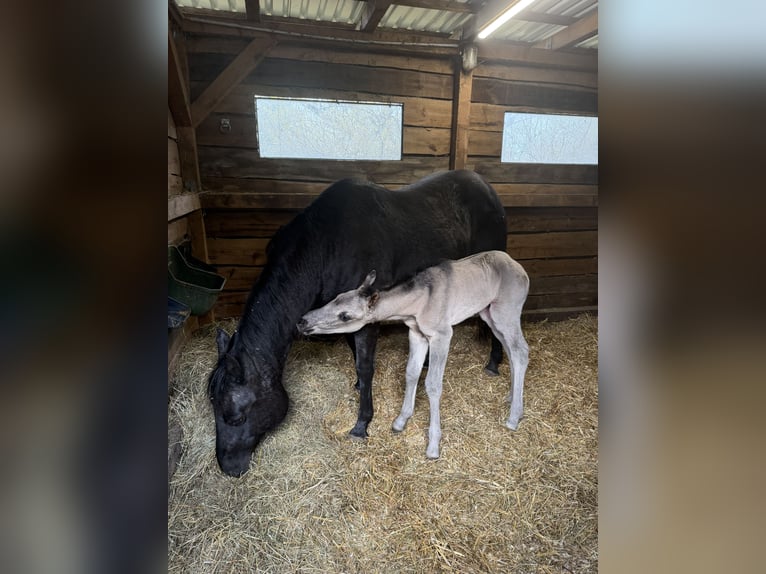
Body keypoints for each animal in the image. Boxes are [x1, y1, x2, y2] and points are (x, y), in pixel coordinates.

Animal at [297, 250, 530, 459]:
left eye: (345, 316)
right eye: (335, 297)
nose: (303, 321)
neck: (419, 304)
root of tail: (520, 269)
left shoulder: (442, 335)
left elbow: (433, 384)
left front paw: (433, 446)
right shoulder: (416, 333)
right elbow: (411, 373)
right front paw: (400, 421)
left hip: (505, 311)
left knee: (521, 351)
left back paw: (513, 417)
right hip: (488, 313)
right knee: (511, 350)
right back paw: (511, 398)